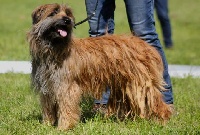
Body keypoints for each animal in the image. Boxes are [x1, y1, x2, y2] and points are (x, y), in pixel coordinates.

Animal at [27, 3, 172, 130]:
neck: (54, 48)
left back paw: (163, 120)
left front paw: (64, 127)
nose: (67, 20)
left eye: (67, 13)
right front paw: (47, 125)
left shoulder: (67, 87)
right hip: (126, 84)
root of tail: (146, 45)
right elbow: (48, 108)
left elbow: (67, 107)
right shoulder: (47, 87)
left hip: (141, 83)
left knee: (156, 102)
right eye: (53, 12)